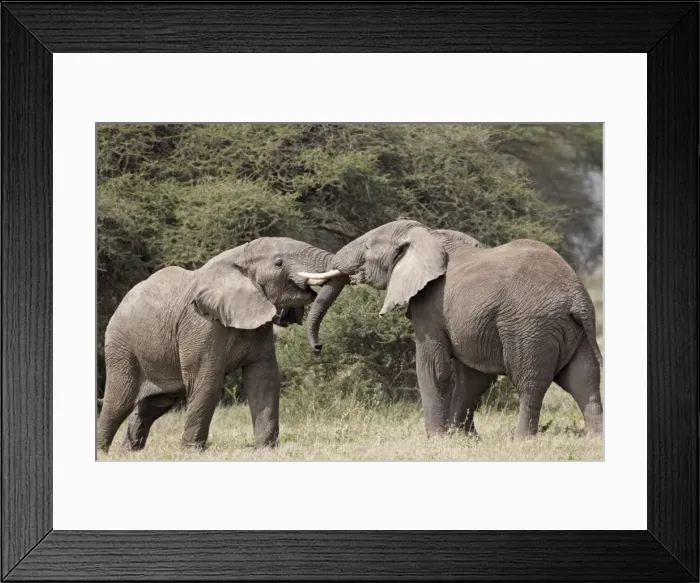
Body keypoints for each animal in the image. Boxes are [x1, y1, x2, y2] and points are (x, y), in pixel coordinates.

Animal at [97, 237, 334, 453]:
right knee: (118, 402)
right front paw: (191, 453)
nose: (318, 347)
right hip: (121, 347)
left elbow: (264, 379)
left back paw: (128, 453)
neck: (239, 256)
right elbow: (207, 382)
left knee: (153, 406)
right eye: (279, 263)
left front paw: (265, 450)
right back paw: (103, 452)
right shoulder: (201, 325)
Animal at [298, 219, 603, 441]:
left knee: (530, 382)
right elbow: (473, 378)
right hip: (572, 330)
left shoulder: (431, 303)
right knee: (585, 379)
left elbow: (434, 367)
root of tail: (576, 299)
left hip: (529, 326)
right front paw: (465, 438)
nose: (317, 347)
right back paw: (594, 438)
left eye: (367, 249)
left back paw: (521, 440)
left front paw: (436, 438)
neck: (425, 234)